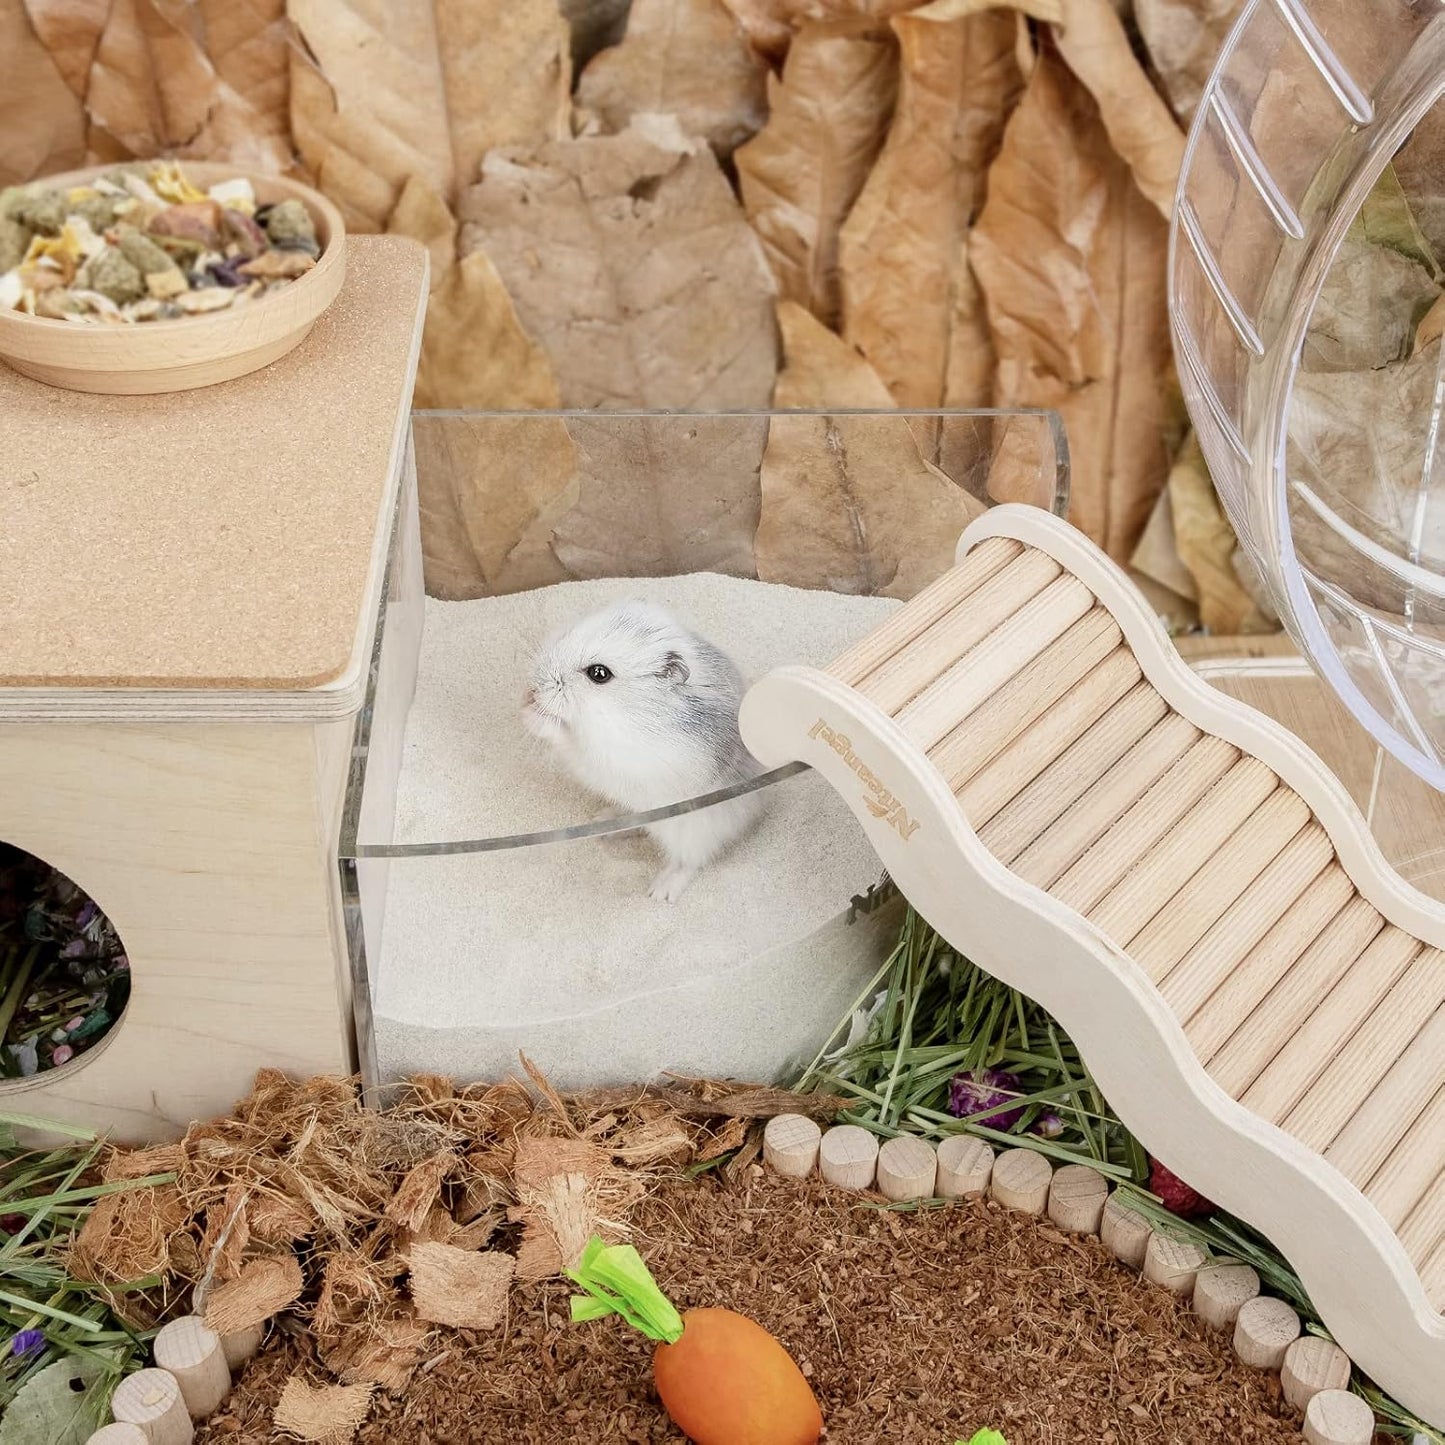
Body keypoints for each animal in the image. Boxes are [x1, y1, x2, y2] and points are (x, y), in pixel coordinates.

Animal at [521, 599, 765, 902]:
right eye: (566, 634)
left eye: (599, 674)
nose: (532, 687)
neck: (630, 712)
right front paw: (525, 702)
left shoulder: (612, 755)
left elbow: (569, 739)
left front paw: (531, 715)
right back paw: (603, 823)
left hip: (693, 830)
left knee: (689, 860)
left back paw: (660, 892)